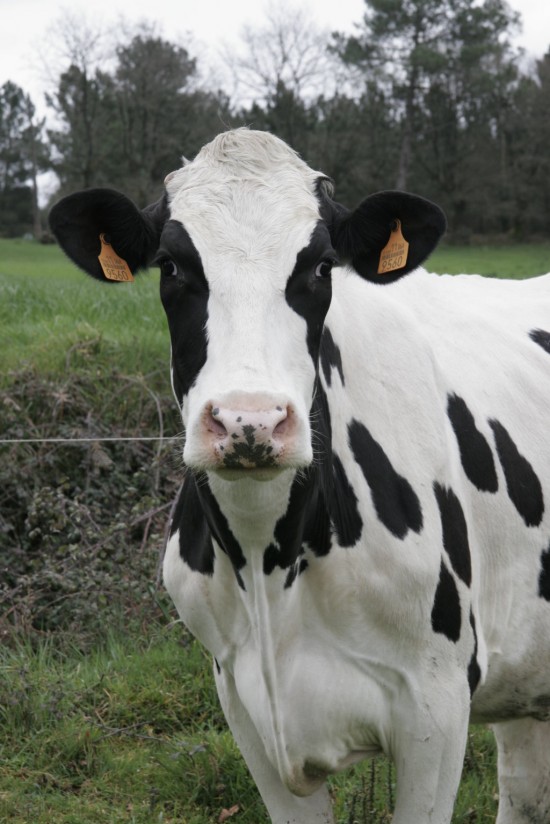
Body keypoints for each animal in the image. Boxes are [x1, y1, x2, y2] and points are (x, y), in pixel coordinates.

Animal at [50, 130, 550, 824]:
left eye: (320, 265)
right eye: (172, 266)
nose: (249, 420)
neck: (268, 565)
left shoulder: (438, 703)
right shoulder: (243, 702)